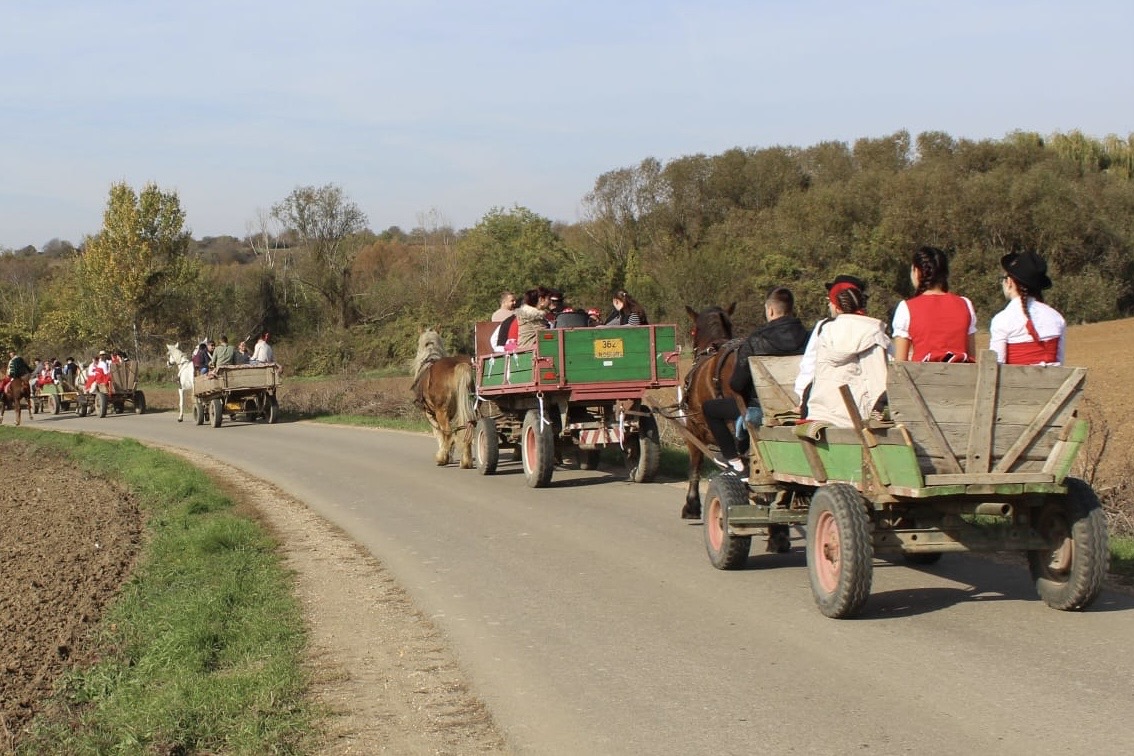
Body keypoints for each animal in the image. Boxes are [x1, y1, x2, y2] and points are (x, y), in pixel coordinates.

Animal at [412, 328, 474, 466]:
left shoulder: (430, 413)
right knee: (466, 429)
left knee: (449, 433)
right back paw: (466, 461)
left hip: (441, 411)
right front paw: (449, 455)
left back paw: (441, 458)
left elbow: (439, 433)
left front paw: (445, 455)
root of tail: (459, 365)